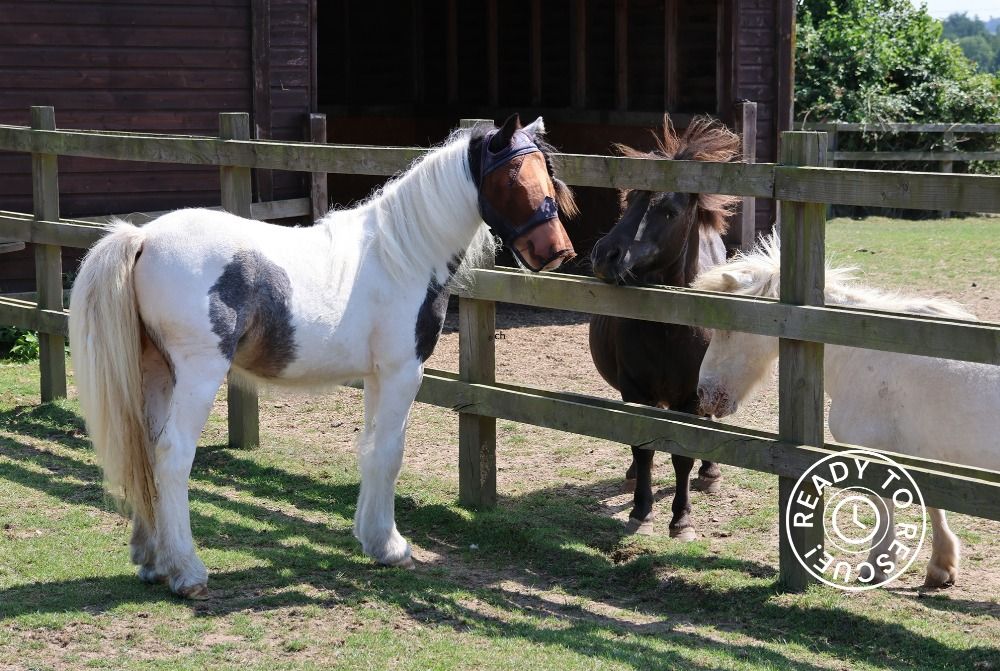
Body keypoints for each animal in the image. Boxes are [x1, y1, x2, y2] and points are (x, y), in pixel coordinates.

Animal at [68, 114, 579, 599]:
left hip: (156, 373)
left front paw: (372, 540)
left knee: (146, 449)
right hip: (197, 376)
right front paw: (391, 547)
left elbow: (370, 449)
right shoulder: (403, 373)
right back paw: (187, 572)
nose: (556, 251)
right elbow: (390, 452)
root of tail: (142, 237)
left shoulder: (377, 377)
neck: (400, 255)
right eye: (511, 177)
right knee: (173, 455)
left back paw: (152, 560)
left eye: (546, 172)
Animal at [588, 116, 741, 538]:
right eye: (628, 200)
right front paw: (641, 513)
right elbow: (643, 447)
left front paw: (682, 519)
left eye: (669, 211)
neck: (669, 326)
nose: (607, 255)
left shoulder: (689, 396)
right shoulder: (635, 390)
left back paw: (710, 473)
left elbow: (683, 455)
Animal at [694, 233, 999, 587]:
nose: (704, 394)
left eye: (726, 329)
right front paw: (941, 565)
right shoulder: (924, 454)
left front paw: (876, 565)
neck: (858, 348)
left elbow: (884, 503)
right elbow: (934, 503)